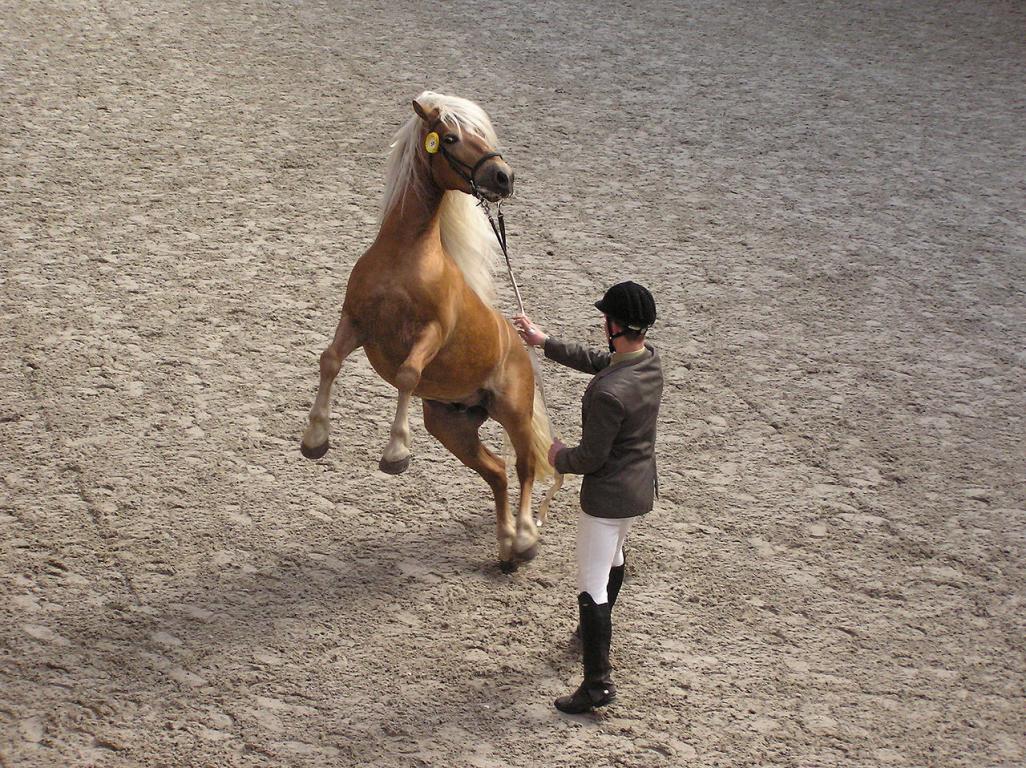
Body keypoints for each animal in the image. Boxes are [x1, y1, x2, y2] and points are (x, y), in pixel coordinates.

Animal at [300, 91, 558, 571]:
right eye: (451, 137)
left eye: (481, 133)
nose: (504, 176)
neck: (403, 259)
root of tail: (520, 345)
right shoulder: (356, 323)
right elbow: (329, 360)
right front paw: (315, 439)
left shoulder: (430, 335)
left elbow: (407, 375)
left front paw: (396, 454)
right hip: (450, 426)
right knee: (497, 472)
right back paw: (506, 546)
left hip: (512, 413)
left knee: (526, 466)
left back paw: (525, 538)